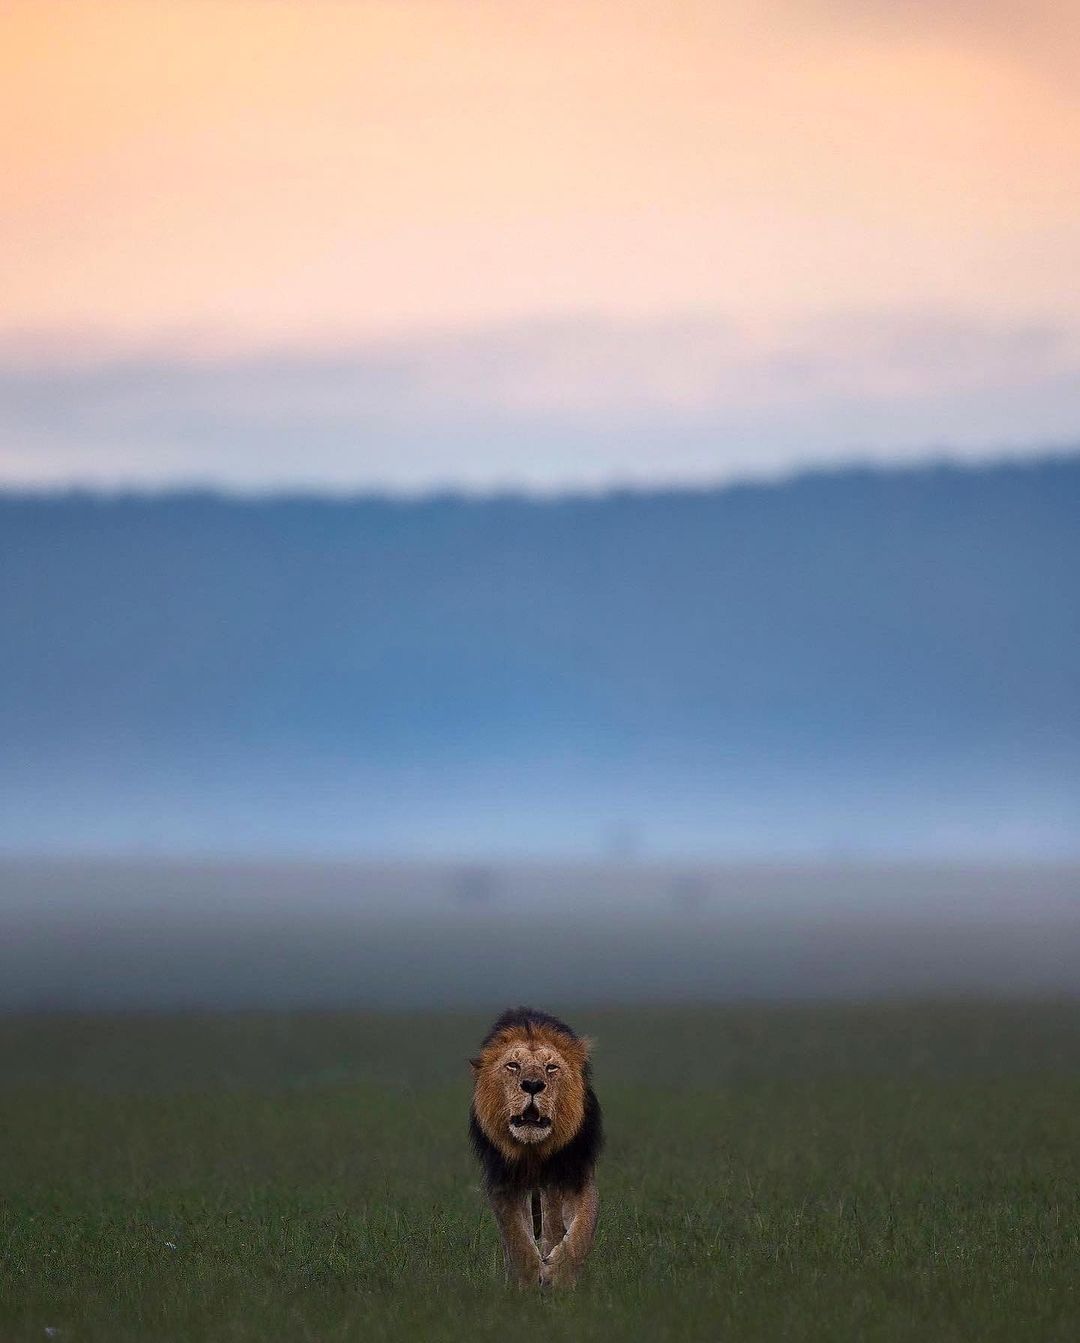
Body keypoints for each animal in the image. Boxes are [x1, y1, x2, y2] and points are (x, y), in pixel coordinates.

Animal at [467, 1009, 604, 1289]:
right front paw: (525, 1283)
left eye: (551, 1067)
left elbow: (581, 1233)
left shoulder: (575, 1173)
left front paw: (560, 1278)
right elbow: (516, 1238)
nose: (532, 1085)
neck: (534, 1150)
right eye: (513, 1066)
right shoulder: (504, 1181)